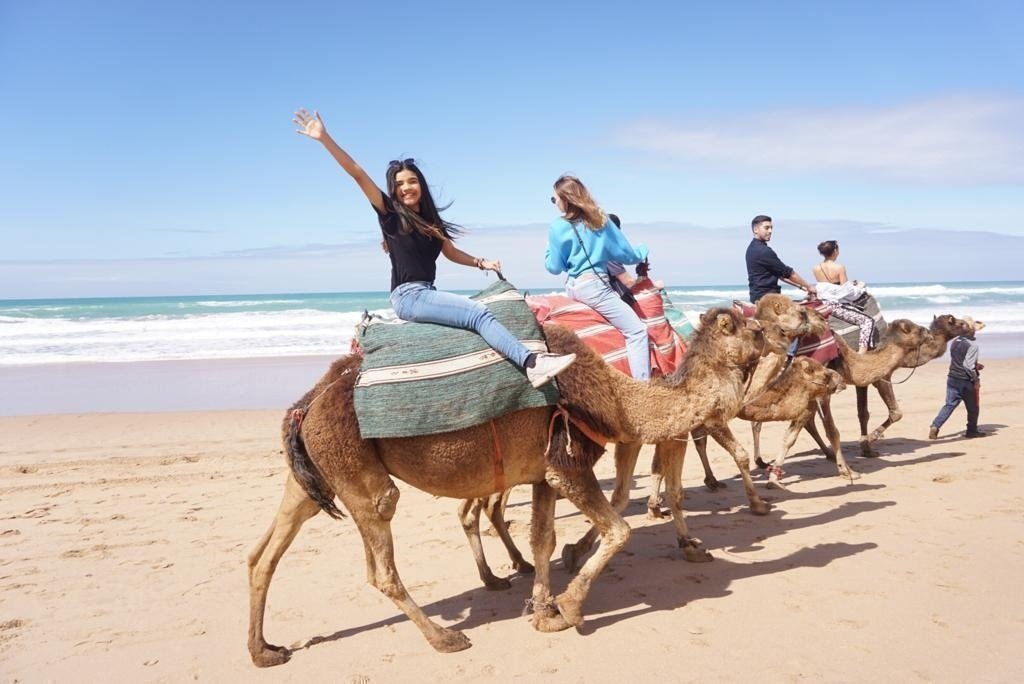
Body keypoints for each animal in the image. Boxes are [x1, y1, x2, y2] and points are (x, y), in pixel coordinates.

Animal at [245, 307, 770, 663]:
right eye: (755, 329)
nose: (778, 338)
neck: (617, 400)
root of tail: (309, 401)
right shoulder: (567, 464)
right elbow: (619, 530)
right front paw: (570, 607)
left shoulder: (542, 472)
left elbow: (543, 540)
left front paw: (543, 611)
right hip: (355, 472)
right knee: (381, 563)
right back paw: (445, 638)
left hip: (313, 477)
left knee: (263, 554)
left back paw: (264, 650)